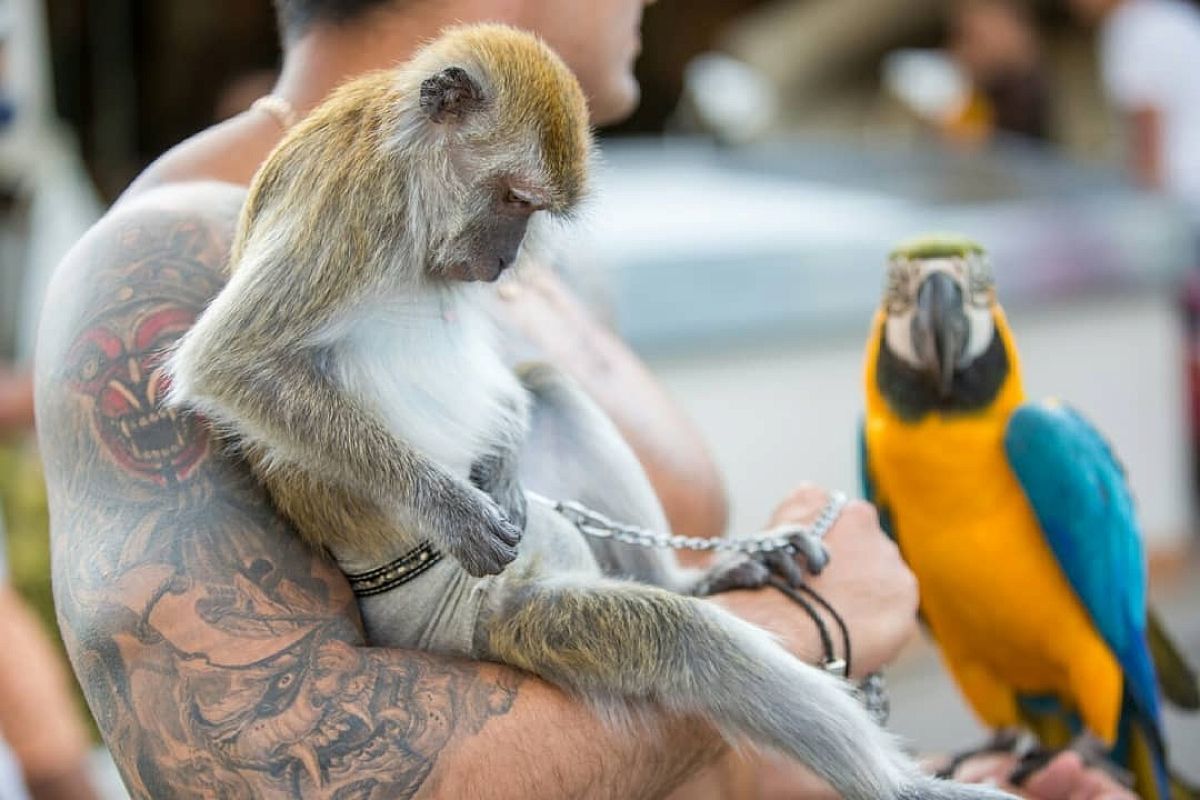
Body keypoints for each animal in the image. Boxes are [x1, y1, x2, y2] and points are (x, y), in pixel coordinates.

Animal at [166, 25, 1012, 800]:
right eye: (513, 200)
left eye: (532, 215)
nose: (506, 259)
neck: (407, 191)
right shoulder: (347, 205)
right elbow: (229, 362)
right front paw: (448, 506)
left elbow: (509, 378)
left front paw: (502, 458)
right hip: (493, 616)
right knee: (676, 640)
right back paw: (899, 785)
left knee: (550, 387)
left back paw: (687, 578)